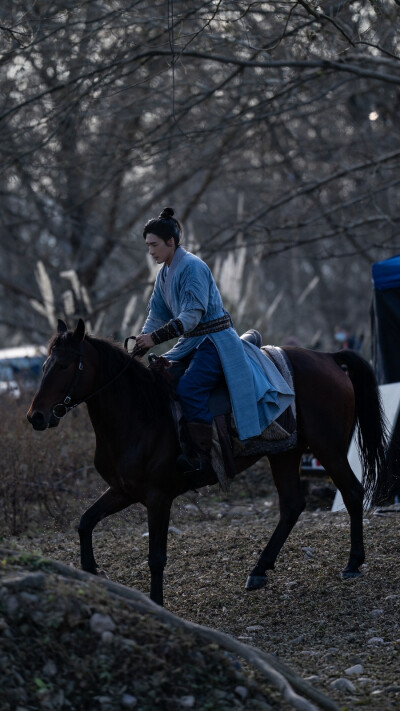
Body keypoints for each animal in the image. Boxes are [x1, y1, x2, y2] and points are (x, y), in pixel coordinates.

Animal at [27, 322, 388, 608]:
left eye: (63, 365)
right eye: (44, 365)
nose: (36, 417)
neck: (139, 412)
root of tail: (328, 358)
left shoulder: (158, 498)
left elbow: (156, 557)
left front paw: (157, 603)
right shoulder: (122, 490)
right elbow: (85, 522)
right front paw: (92, 570)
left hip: (329, 450)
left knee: (352, 492)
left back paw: (353, 563)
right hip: (285, 452)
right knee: (292, 505)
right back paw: (259, 570)